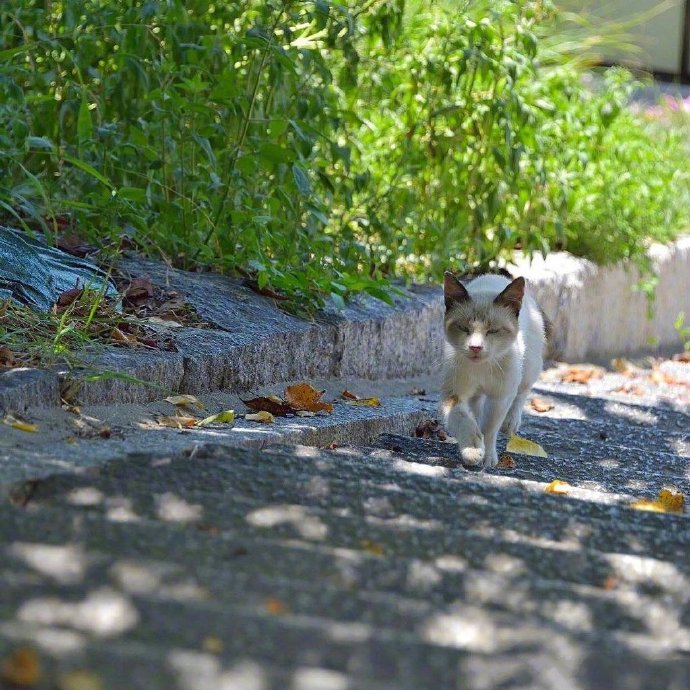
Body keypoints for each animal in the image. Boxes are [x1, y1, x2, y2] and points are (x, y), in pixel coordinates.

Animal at [440, 270, 544, 468]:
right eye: (464, 328)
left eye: (493, 331)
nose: (475, 347)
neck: (481, 368)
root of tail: (495, 275)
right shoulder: (454, 394)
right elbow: (463, 419)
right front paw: (472, 450)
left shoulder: (500, 397)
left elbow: (489, 429)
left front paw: (487, 458)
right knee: (475, 409)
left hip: (528, 368)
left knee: (522, 393)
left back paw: (510, 423)